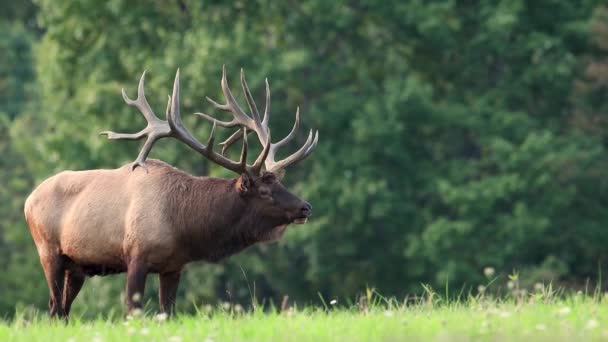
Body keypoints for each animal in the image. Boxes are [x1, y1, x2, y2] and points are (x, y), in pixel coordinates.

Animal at [23, 67, 318, 318]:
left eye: (281, 183)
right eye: (265, 191)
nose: (305, 207)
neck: (183, 225)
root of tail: (28, 200)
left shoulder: (174, 266)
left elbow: (168, 312)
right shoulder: (136, 256)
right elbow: (132, 311)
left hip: (77, 265)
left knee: (61, 309)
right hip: (48, 251)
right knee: (55, 306)